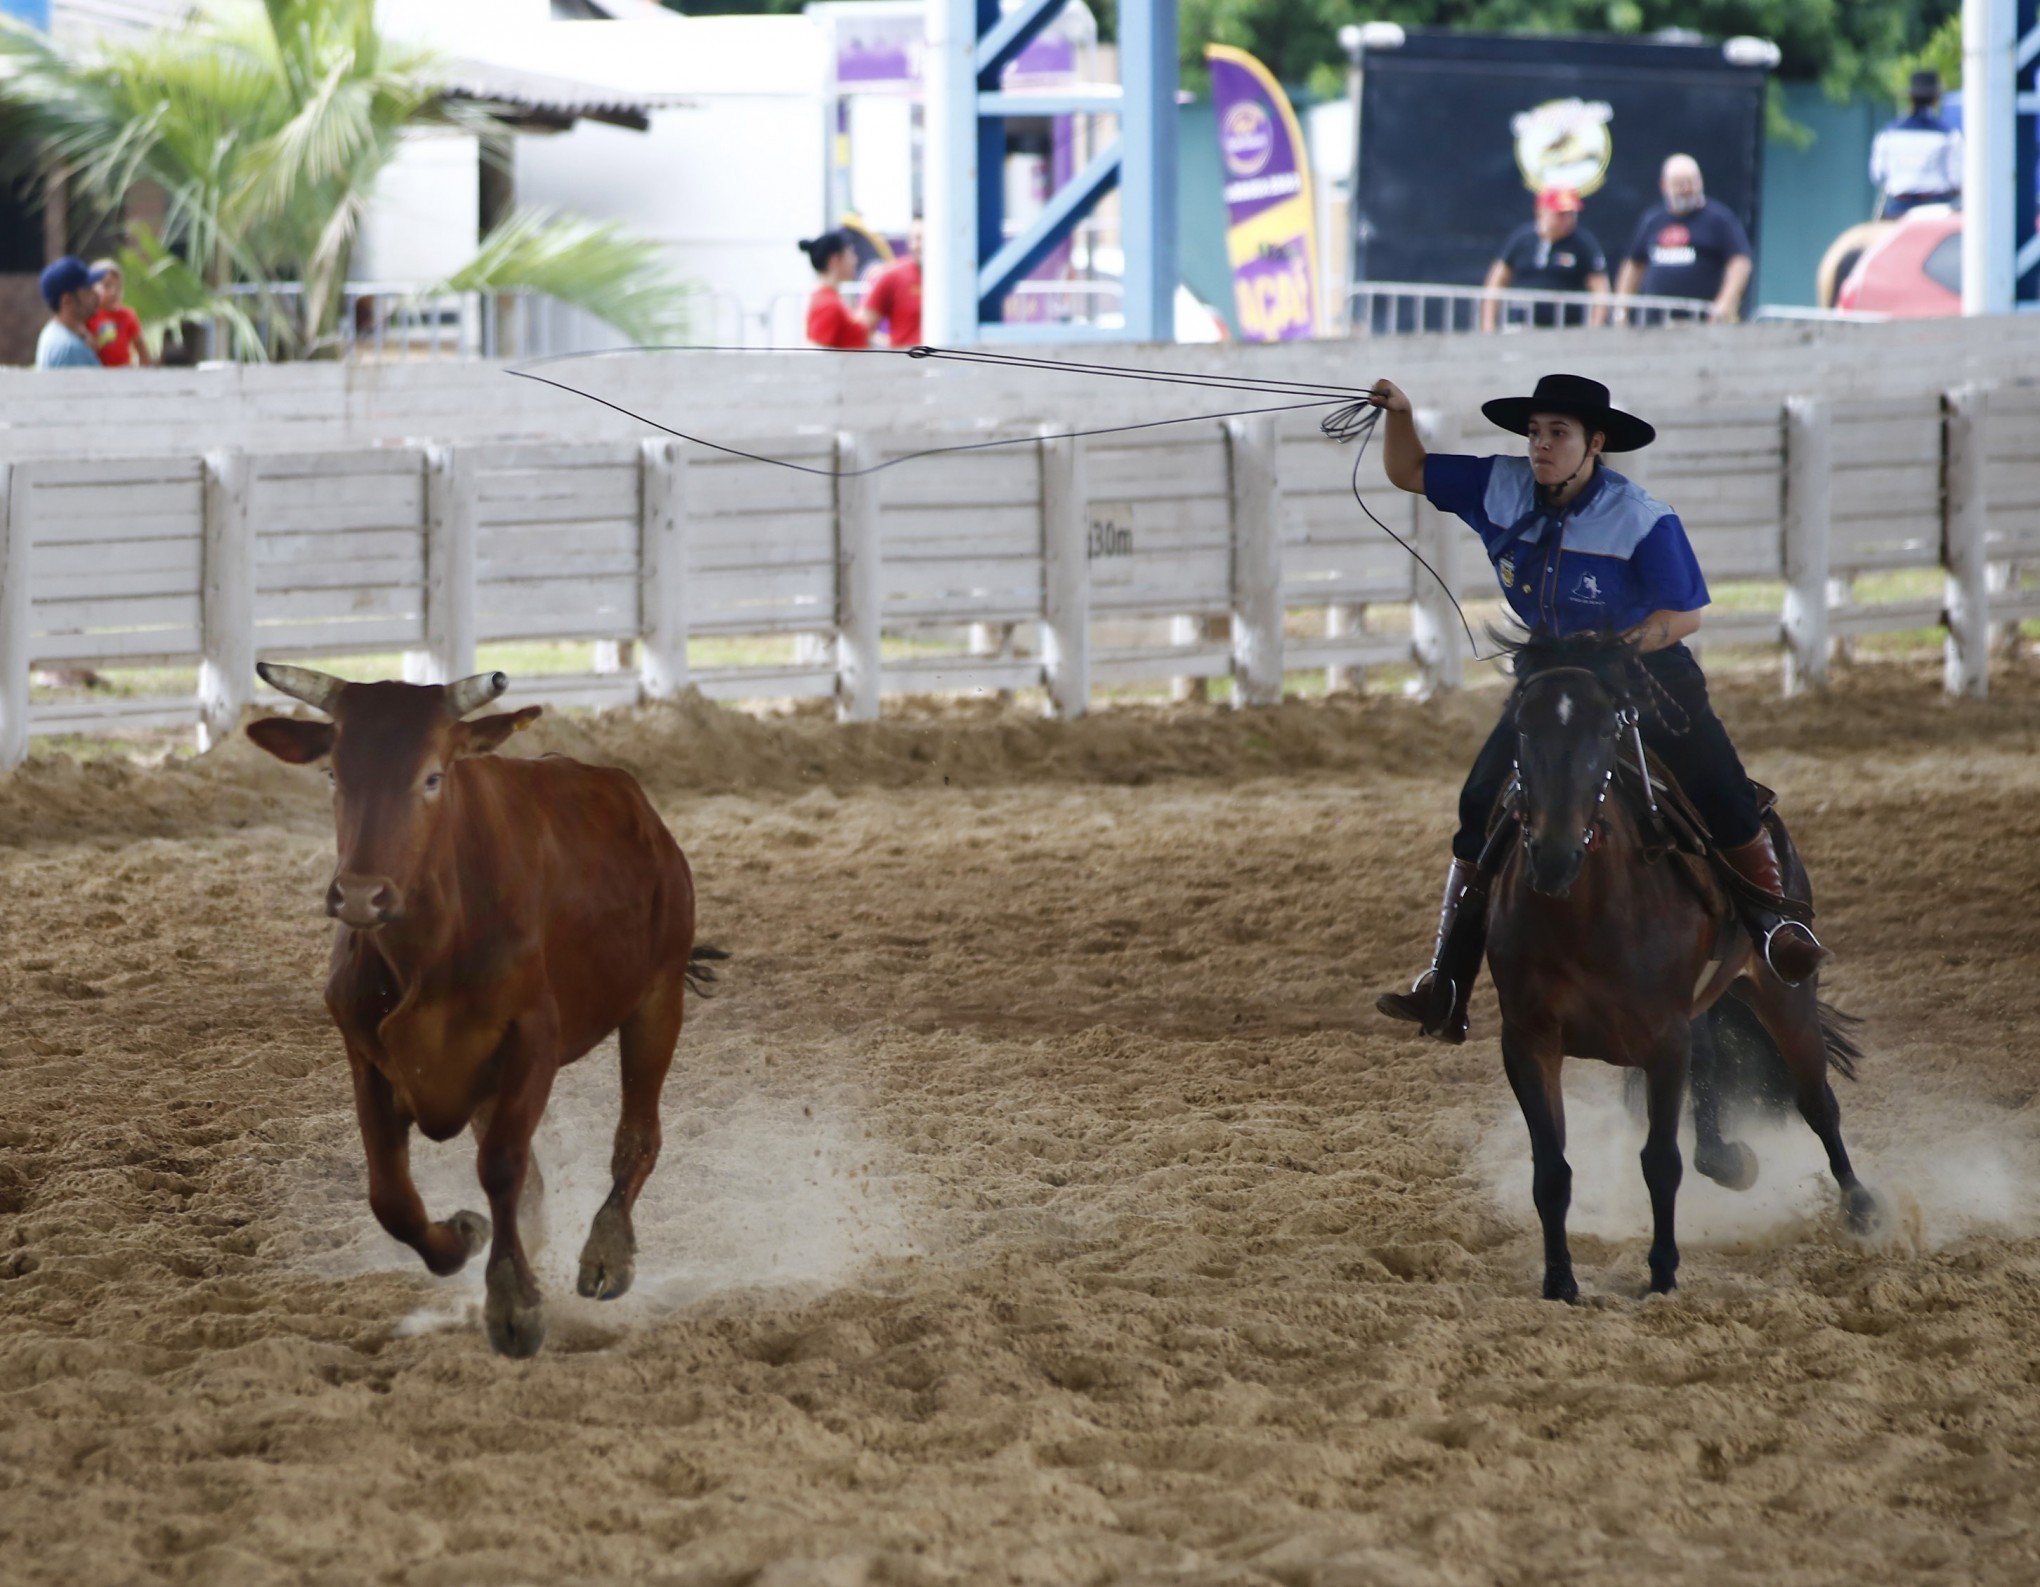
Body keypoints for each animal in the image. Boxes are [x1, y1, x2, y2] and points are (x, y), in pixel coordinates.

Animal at [1485, 632, 1876, 1297]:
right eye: (1521, 727)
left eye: (1604, 730)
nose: (1555, 854)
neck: (1585, 914)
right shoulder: (1529, 1040)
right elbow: (1552, 1169)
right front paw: (1560, 1281)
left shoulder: (1664, 1038)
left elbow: (1660, 1161)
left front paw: (1663, 1273)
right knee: (1714, 1075)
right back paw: (1732, 1160)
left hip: (1780, 990)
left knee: (1816, 1100)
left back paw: (1860, 1208)